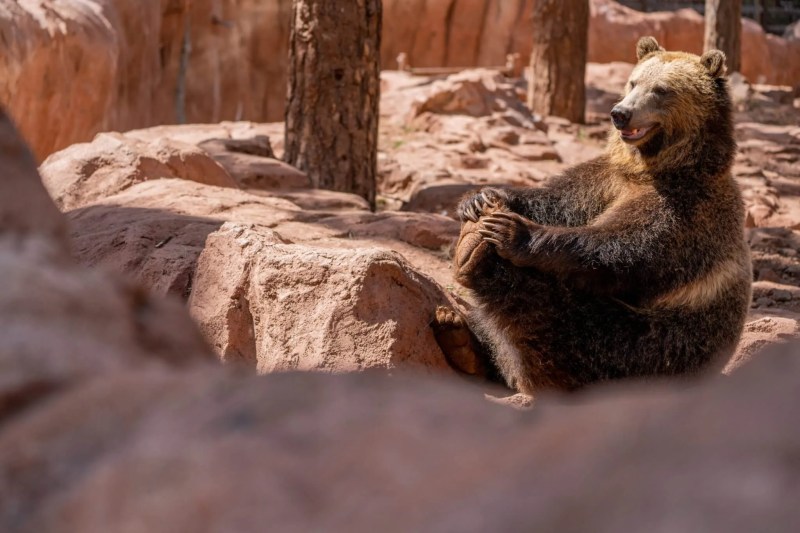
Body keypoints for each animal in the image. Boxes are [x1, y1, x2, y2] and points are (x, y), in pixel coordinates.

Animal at [433, 36, 752, 395]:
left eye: (661, 89)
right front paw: (480, 199)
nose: (621, 114)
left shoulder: (684, 210)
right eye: (633, 82)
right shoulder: (606, 180)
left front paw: (513, 231)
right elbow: (559, 200)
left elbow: (623, 247)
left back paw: (476, 258)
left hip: (647, 346)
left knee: (556, 315)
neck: (655, 167)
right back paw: (458, 334)